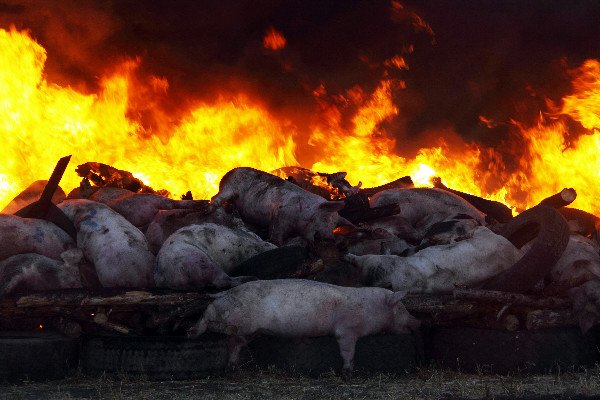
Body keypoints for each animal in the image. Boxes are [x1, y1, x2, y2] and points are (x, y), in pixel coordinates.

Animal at [190, 278, 420, 378]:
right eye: (401, 308)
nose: (418, 322)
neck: (369, 310)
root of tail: (224, 292)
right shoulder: (346, 330)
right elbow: (348, 351)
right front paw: (347, 373)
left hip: (246, 330)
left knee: (234, 343)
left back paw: (232, 368)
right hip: (232, 315)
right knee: (207, 317)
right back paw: (190, 332)